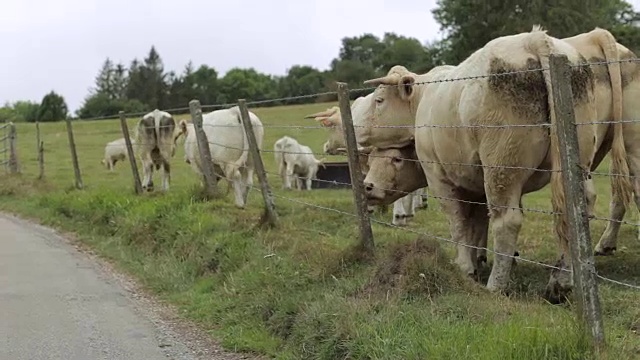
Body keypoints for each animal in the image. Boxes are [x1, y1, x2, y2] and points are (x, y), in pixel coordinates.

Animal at [352, 25, 632, 302]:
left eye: (379, 100)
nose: (367, 186)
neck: (425, 98)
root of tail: (534, 38)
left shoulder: (439, 176)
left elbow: (459, 223)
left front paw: (466, 266)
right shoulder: (475, 182)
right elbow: (477, 222)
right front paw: (480, 258)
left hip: (501, 167)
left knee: (507, 220)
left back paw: (496, 285)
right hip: (573, 160)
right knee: (574, 209)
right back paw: (559, 283)